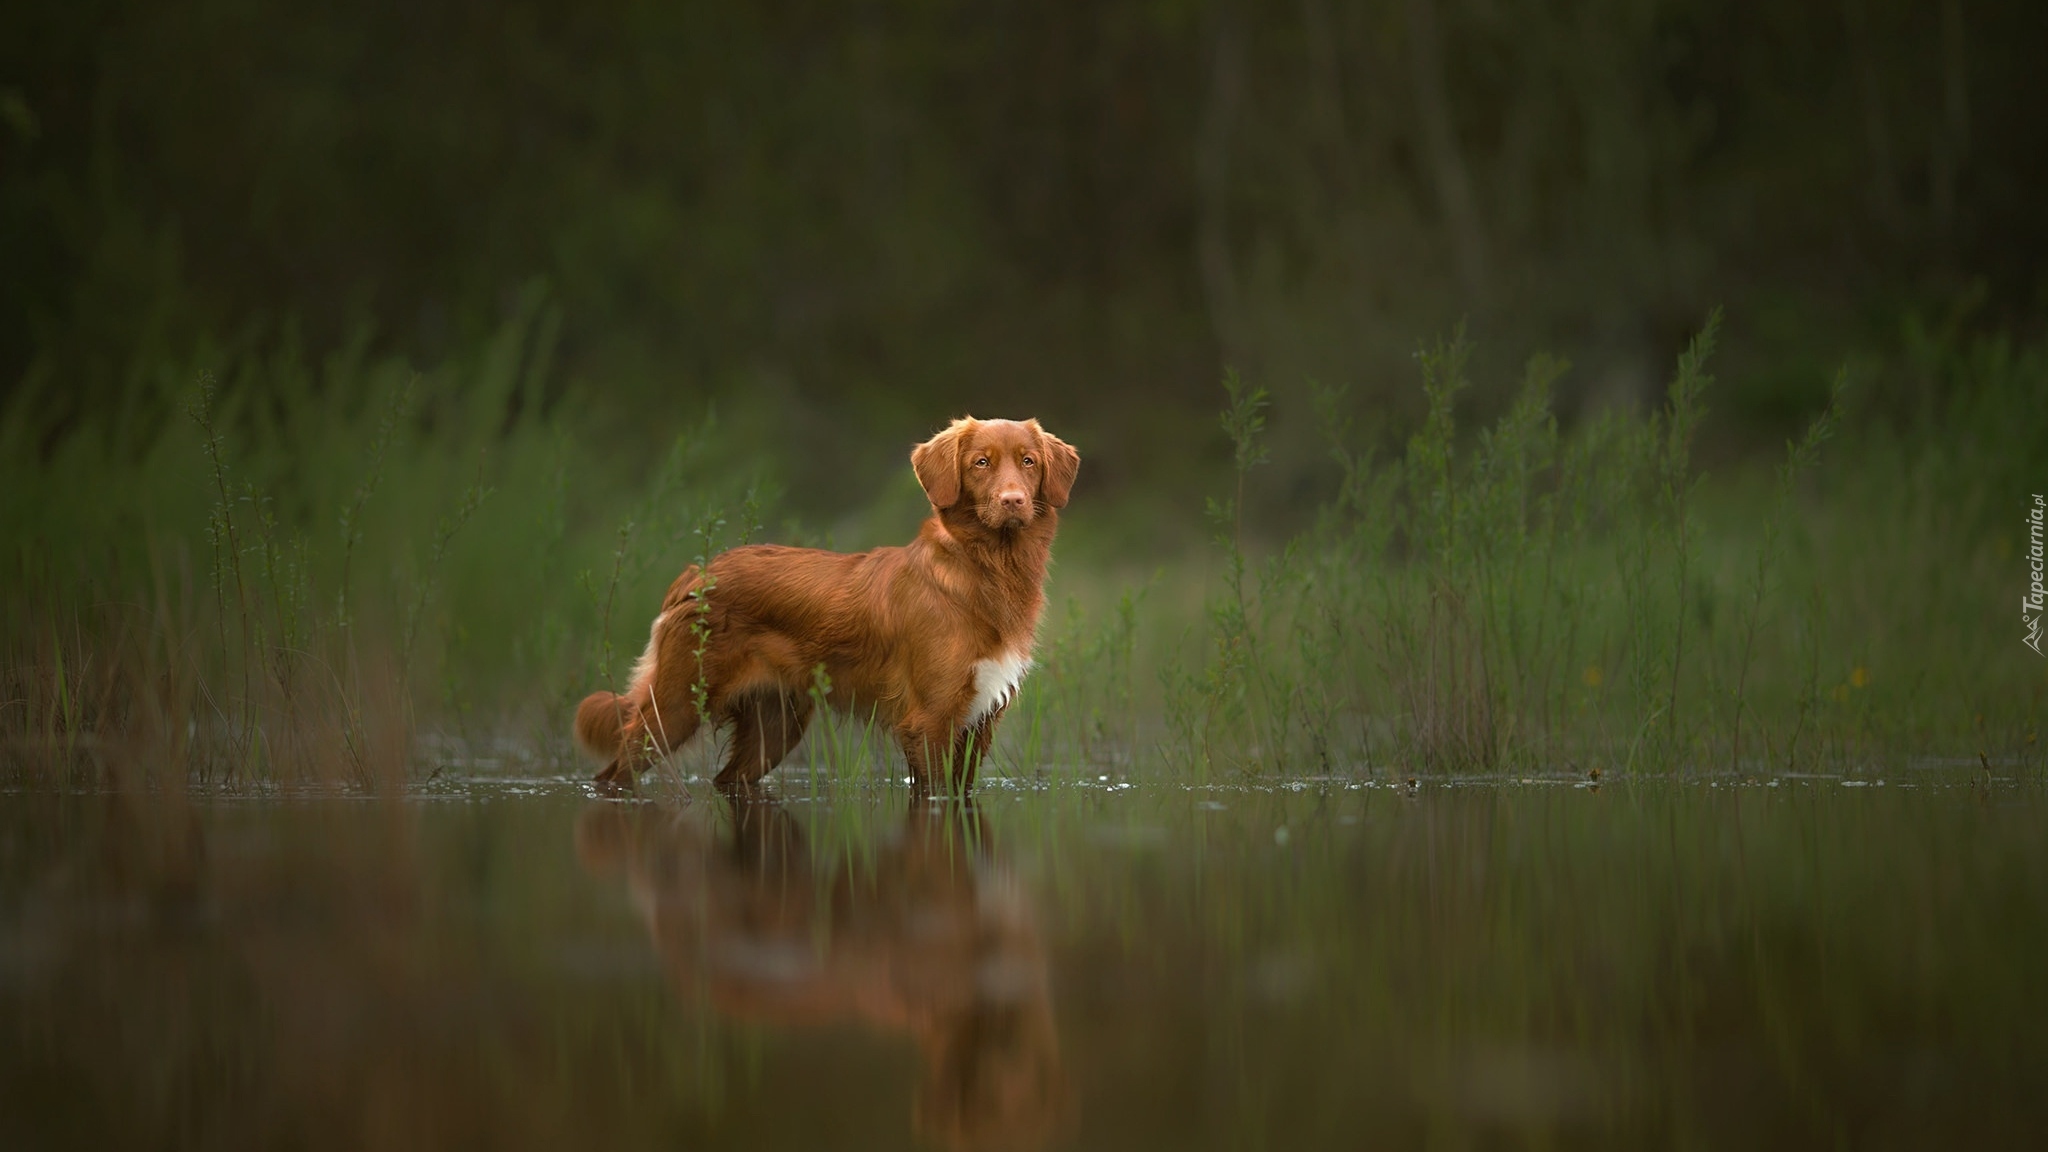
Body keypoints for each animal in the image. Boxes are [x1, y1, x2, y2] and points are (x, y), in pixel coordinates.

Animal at [577, 414, 1081, 787]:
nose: (1013, 501)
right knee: (614, 774)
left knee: (728, 781)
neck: (986, 571)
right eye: (980, 463)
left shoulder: (979, 723)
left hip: (774, 725)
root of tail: (696, 573)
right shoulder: (929, 721)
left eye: (1029, 461)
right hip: (676, 708)